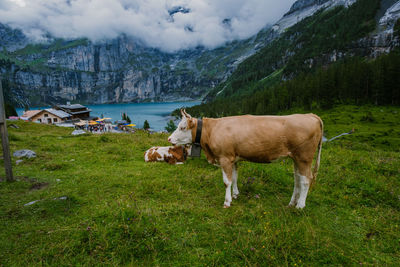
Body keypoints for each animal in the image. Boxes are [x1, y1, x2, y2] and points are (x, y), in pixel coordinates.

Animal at [167, 110, 324, 208]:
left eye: (182, 127)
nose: (169, 139)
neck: (211, 131)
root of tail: (310, 115)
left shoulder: (224, 158)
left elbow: (227, 181)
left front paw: (227, 202)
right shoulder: (233, 159)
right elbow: (235, 177)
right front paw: (236, 194)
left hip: (304, 158)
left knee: (306, 180)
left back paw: (300, 206)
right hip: (296, 159)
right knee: (297, 180)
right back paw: (292, 203)